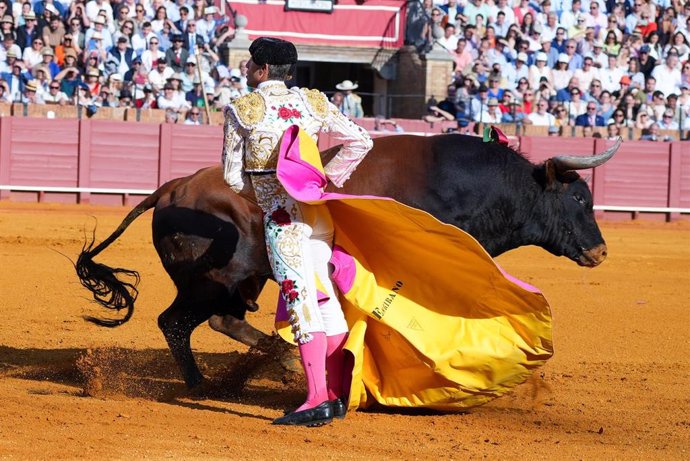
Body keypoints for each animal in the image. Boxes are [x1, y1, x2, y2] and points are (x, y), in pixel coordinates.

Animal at [75, 134, 620, 388]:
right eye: (579, 199)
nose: (600, 251)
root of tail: (171, 187)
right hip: (213, 281)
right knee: (180, 322)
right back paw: (212, 380)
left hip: (233, 283)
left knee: (213, 321)